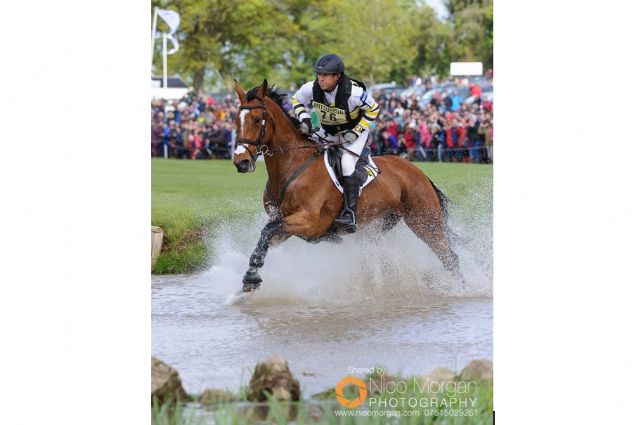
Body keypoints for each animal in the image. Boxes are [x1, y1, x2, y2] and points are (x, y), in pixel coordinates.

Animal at [232, 78, 462, 292]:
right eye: (236, 120)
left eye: (256, 119)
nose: (240, 161)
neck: (292, 166)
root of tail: (417, 171)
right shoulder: (286, 223)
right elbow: (266, 236)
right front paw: (251, 276)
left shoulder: (308, 221)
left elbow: (267, 230)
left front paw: (251, 275)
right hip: (378, 227)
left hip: (425, 221)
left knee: (449, 257)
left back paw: (460, 289)